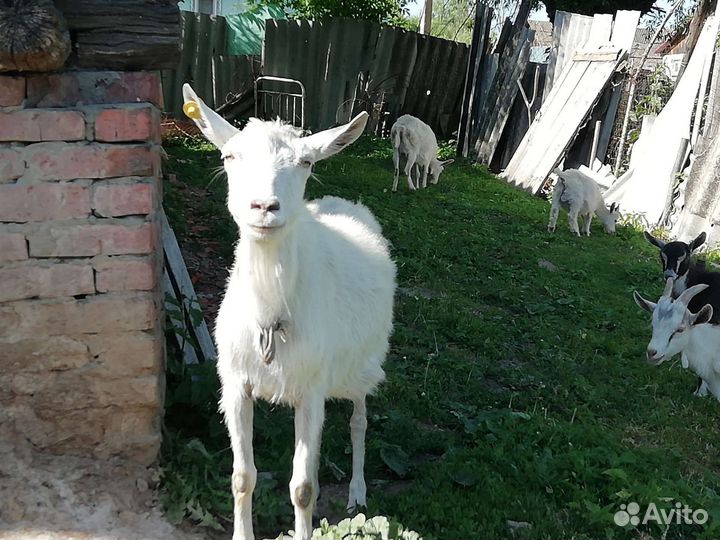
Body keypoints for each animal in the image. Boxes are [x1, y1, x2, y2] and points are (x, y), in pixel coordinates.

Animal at [182, 84, 397, 540]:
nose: (264, 206)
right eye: (229, 156)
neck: (270, 312)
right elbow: (242, 477)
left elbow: (303, 488)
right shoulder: (235, 384)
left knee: (358, 421)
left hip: (362, 366)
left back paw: (357, 493)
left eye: (306, 162)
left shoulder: (311, 390)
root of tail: (344, 203)